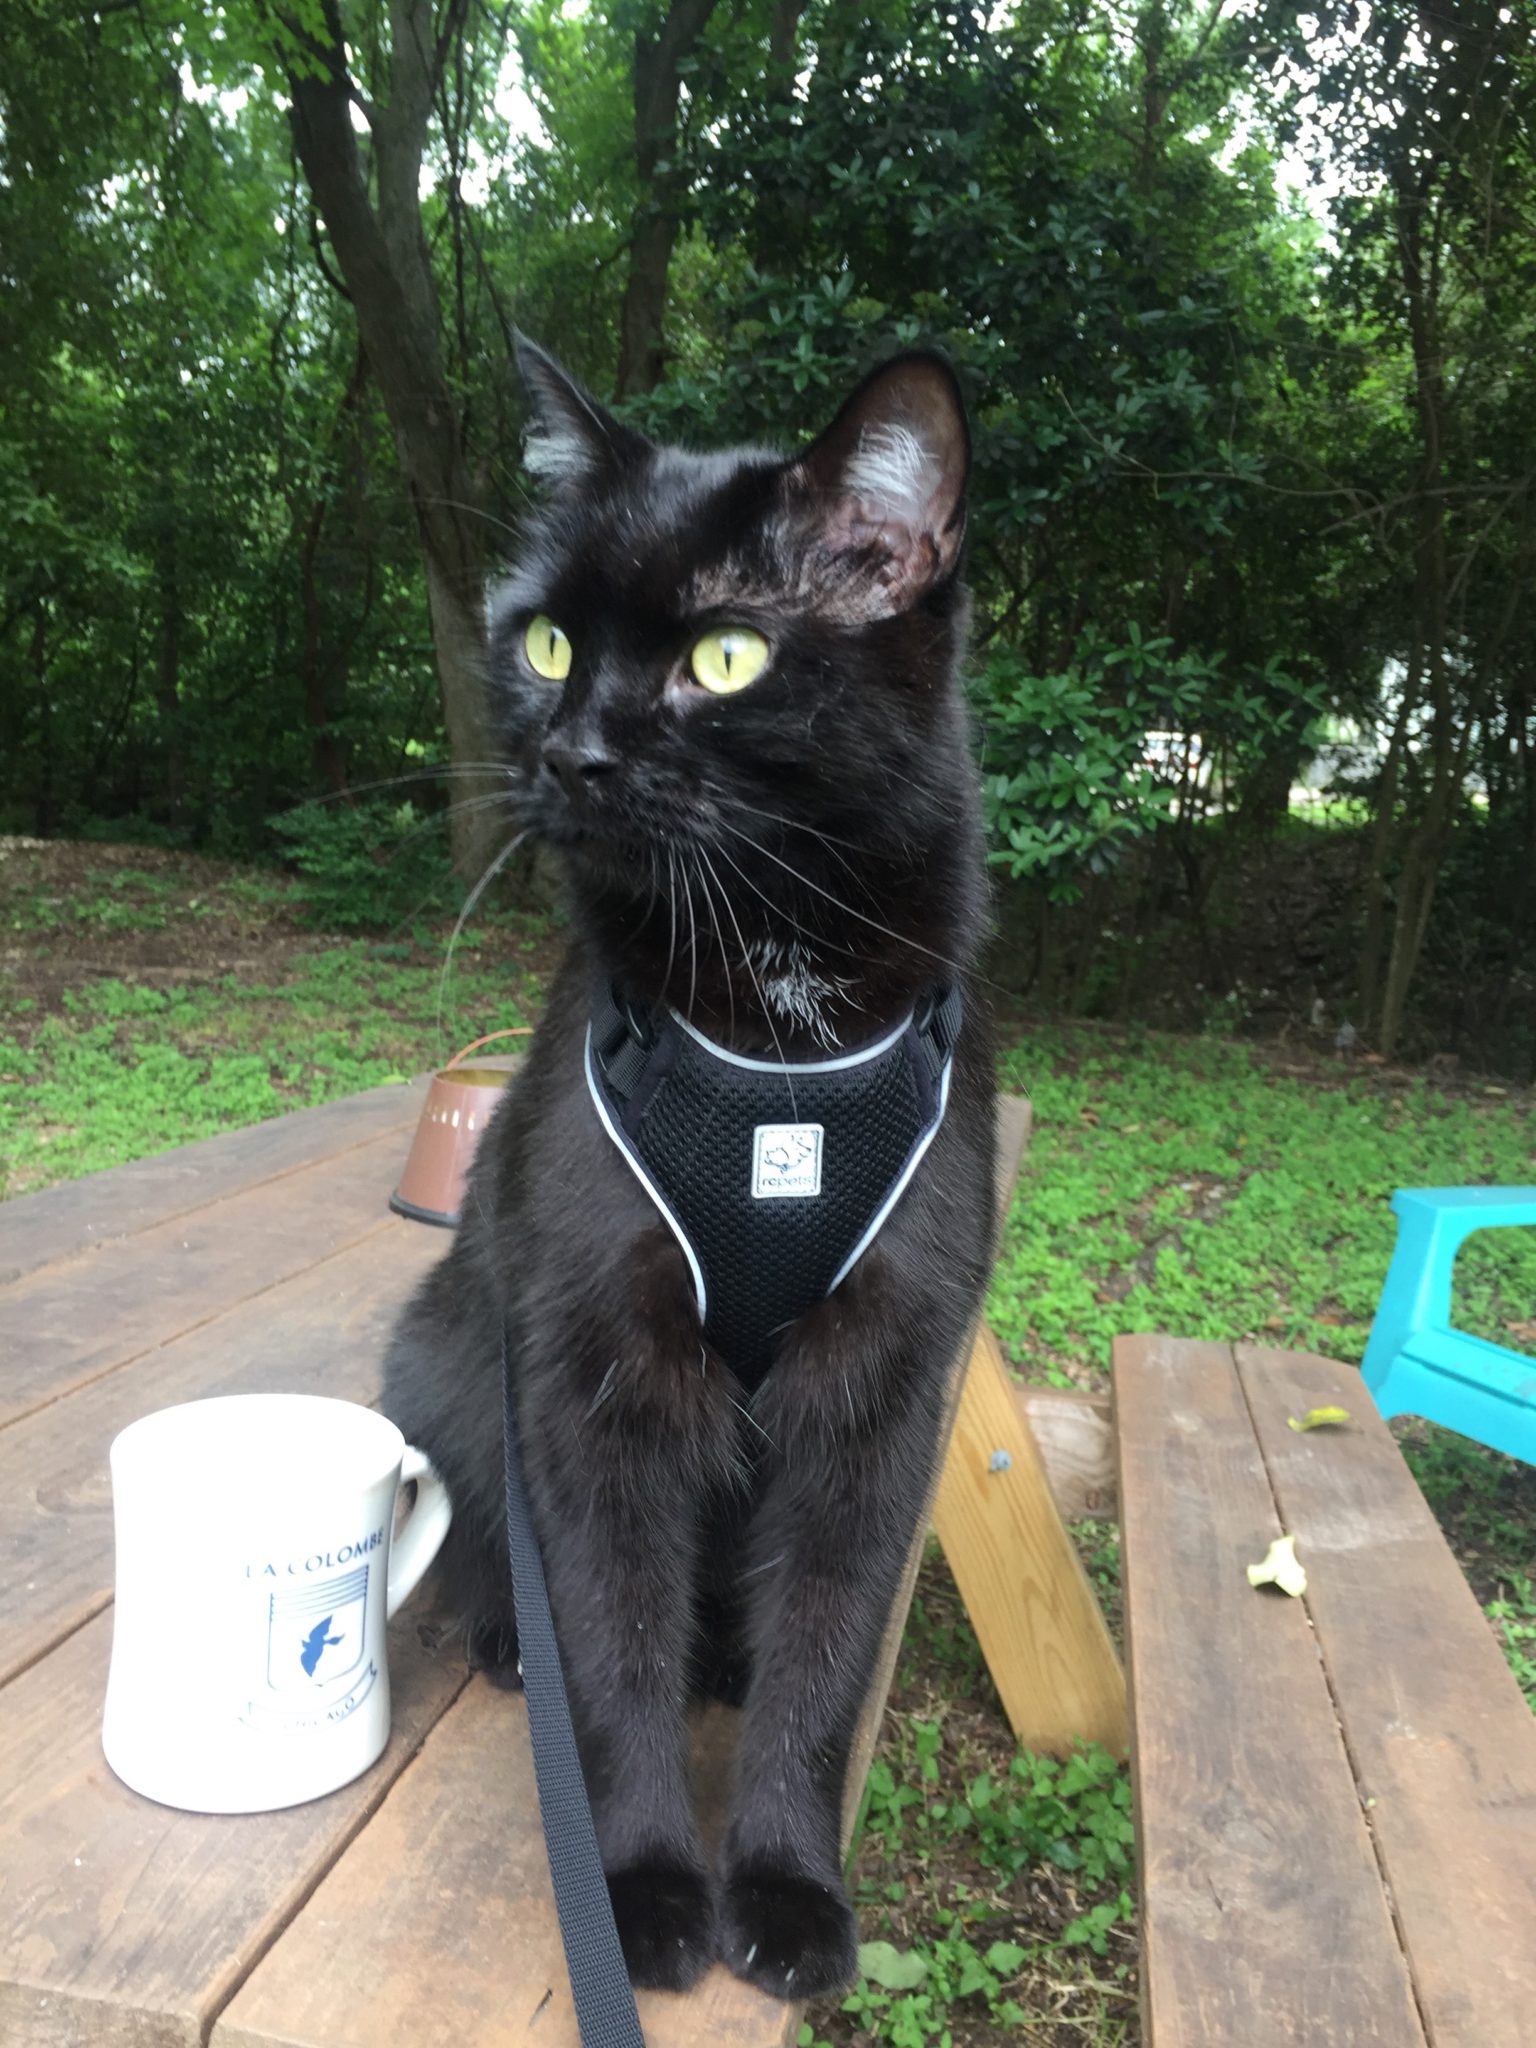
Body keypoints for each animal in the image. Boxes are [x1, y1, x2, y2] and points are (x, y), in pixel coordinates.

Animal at [382, 339, 999, 1998]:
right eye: (544, 641)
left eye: (725, 658)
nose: (569, 748)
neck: (774, 1019)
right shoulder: (595, 1374)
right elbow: (610, 1647)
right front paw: (647, 1890)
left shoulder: (880, 1392)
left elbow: (825, 1659)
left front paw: (785, 1890)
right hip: (444, 1343)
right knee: (490, 1540)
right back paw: (504, 1635)